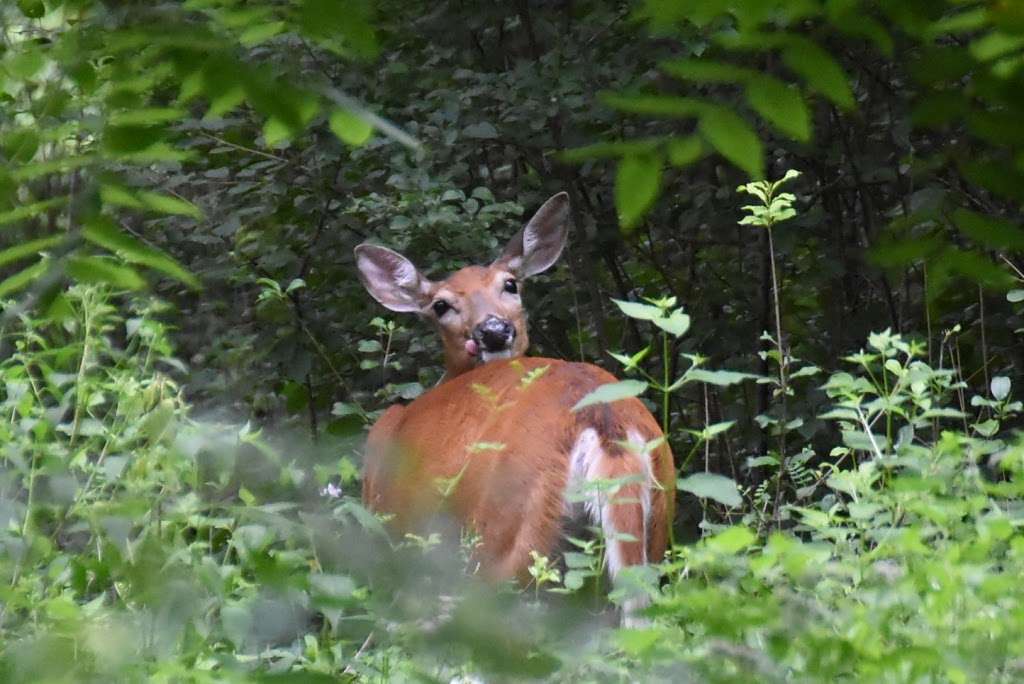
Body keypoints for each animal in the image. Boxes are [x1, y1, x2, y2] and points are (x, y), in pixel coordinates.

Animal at [356, 191, 675, 626]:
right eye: (440, 305)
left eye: (510, 284)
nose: (493, 330)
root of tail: (603, 419)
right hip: (654, 526)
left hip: (507, 532)